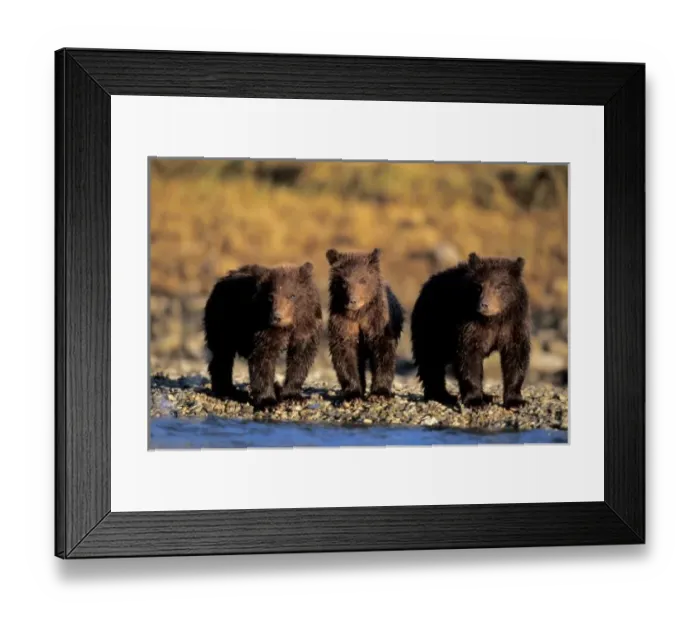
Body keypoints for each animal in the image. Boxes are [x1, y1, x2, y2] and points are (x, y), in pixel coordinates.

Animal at [203, 262, 323, 409]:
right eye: (271, 297)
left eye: (292, 295)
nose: (277, 317)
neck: (288, 326)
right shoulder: (264, 327)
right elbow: (263, 358)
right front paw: (268, 401)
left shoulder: (305, 328)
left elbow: (300, 358)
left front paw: (293, 396)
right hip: (224, 321)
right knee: (222, 354)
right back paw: (228, 391)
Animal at [326, 248, 404, 400]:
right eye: (344, 282)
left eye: (362, 279)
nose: (352, 300)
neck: (358, 314)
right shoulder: (344, 324)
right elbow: (345, 354)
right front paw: (353, 393)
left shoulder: (377, 322)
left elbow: (383, 352)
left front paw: (379, 393)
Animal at [411, 252, 530, 409]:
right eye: (479, 286)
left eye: (499, 286)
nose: (484, 304)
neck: (493, 320)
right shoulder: (469, 325)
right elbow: (468, 358)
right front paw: (475, 401)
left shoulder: (513, 326)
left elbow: (516, 356)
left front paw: (515, 400)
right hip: (432, 323)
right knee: (430, 358)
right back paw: (442, 395)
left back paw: (486, 396)